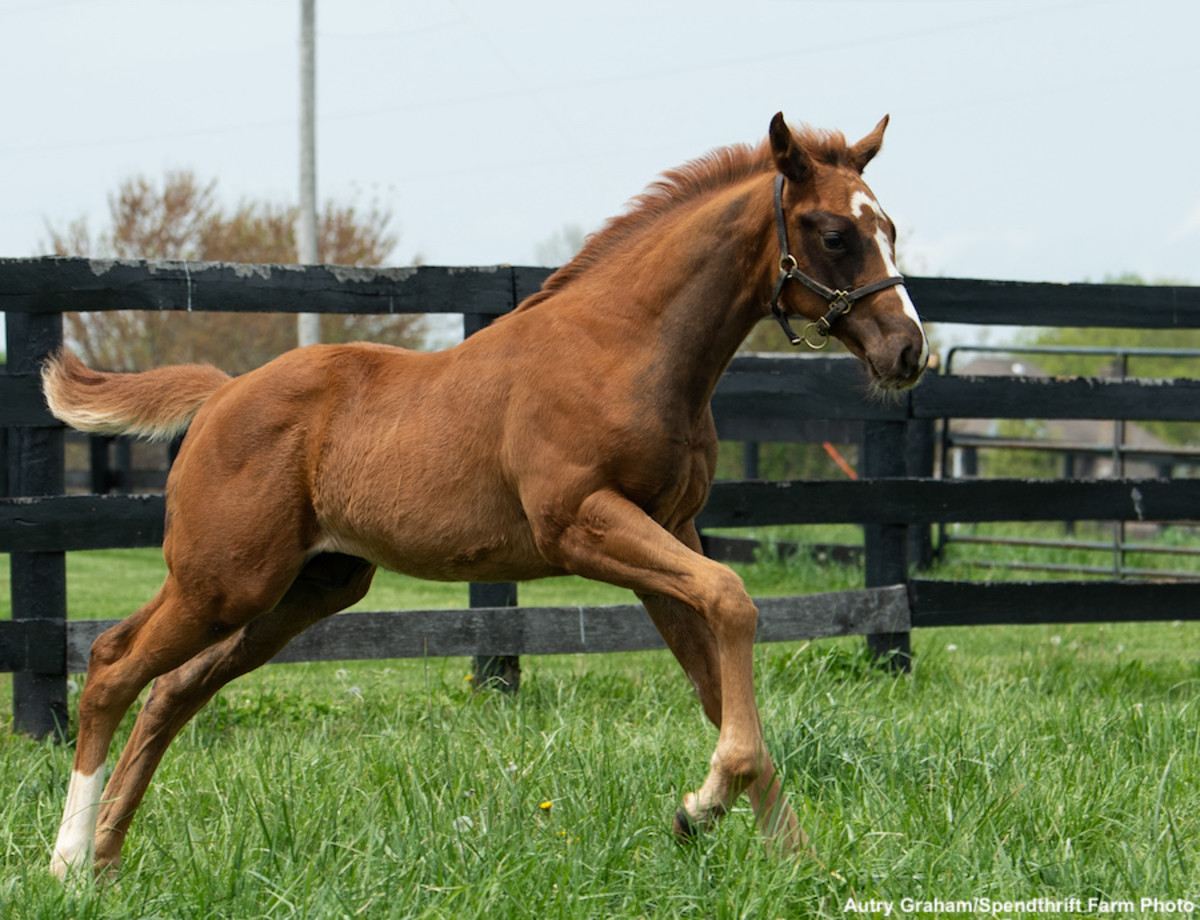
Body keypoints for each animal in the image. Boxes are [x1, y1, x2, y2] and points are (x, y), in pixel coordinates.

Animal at [46, 115, 926, 878]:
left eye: (890, 228)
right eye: (834, 233)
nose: (908, 350)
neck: (624, 346)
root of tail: (221, 394)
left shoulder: (670, 534)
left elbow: (716, 668)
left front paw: (792, 859)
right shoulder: (581, 524)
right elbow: (734, 599)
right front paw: (703, 808)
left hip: (303, 590)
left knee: (172, 691)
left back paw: (107, 858)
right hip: (223, 580)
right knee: (112, 666)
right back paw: (67, 863)